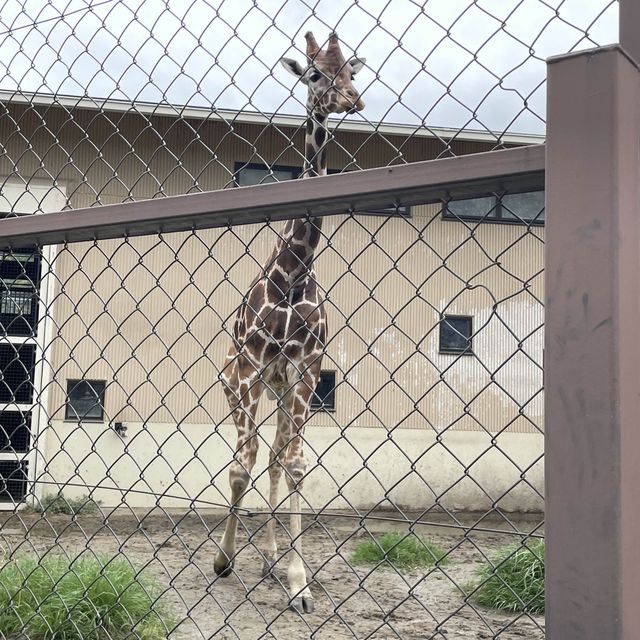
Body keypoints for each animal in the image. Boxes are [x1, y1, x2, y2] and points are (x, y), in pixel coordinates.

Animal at [214, 31, 364, 616]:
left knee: (277, 458)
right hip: (239, 382)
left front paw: (298, 580)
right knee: (256, 456)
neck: (293, 275)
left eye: (351, 69)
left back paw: (273, 560)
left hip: (281, 390)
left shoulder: (305, 370)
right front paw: (224, 560)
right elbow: (242, 463)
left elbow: (296, 463)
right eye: (315, 74)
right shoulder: (251, 369)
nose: (353, 101)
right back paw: (244, 557)